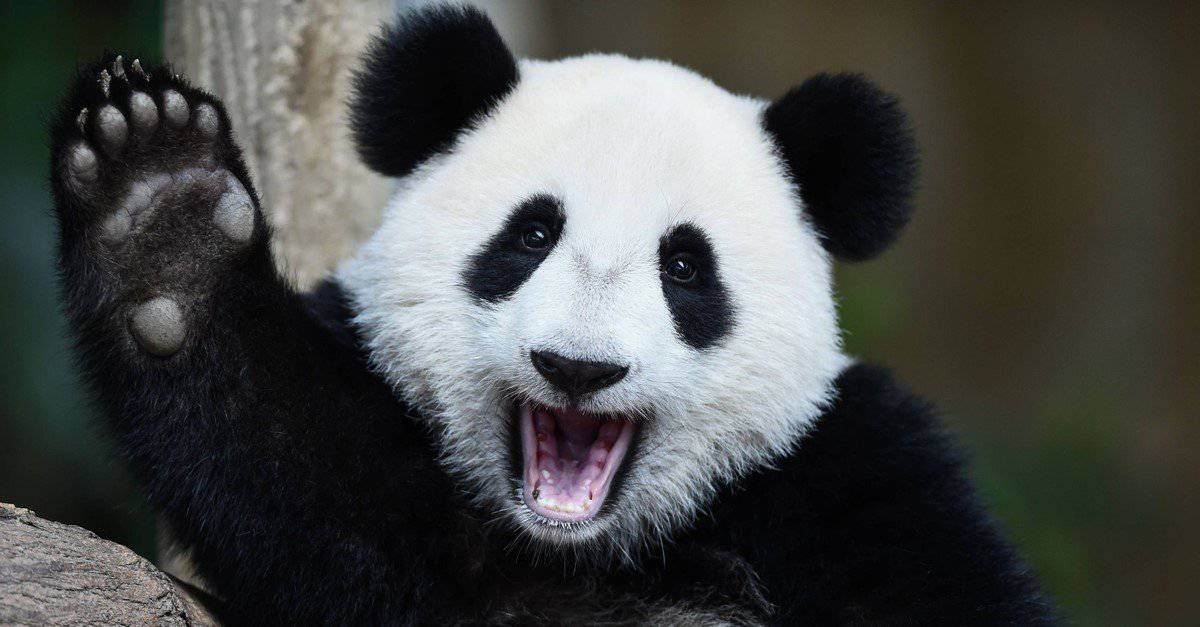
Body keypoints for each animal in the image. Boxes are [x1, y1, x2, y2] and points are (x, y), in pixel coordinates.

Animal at [49, 4, 1057, 625]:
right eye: (532, 233)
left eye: (684, 266)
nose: (579, 367)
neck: (586, 549)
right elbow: (311, 483)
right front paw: (164, 208)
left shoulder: (853, 471)